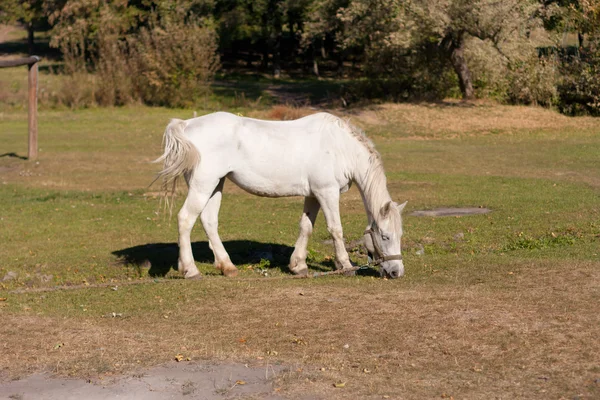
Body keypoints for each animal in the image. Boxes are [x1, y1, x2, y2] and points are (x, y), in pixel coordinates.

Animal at [155, 111, 408, 280]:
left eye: (400, 235)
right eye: (385, 236)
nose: (396, 271)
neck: (340, 147)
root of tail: (187, 124)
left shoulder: (313, 195)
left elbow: (306, 227)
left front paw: (298, 266)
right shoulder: (327, 192)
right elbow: (336, 229)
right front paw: (344, 265)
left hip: (216, 184)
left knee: (209, 221)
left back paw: (227, 267)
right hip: (203, 186)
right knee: (185, 219)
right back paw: (190, 270)